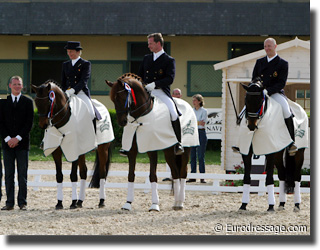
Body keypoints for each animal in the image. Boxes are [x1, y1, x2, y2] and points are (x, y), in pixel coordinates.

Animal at [31, 80, 111, 209]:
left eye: (48, 101)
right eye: (36, 101)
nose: (43, 124)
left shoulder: (74, 149)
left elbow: (73, 175)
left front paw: (72, 202)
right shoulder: (56, 150)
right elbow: (59, 175)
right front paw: (59, 203)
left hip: (102, 148)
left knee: (102, 172)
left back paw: (101, 201)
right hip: (83, 149)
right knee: (83, 172)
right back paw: (80, 201)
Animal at [107, 73, 192, 211]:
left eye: (122, 97)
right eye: (113, 100)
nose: (121, 122)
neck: (140, 116)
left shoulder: (152, 149)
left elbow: (153, 175)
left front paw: (154, 205)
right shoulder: (131, 151)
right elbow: (130, 175)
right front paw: (128, 203)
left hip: (187, 150)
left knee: (183, 172)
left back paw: (180, 203)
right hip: (168, 150)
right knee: (175, 172)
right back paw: (176, 202)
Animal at [239, 80, 306, 211]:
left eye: (260, 101)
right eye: (246, 101)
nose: (251, 126)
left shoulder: (270, 152)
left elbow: (269, 178)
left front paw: (270, 206)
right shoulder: (246, 153)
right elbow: (247, 178)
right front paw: (243, 205)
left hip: (299, 153)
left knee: (297, 176)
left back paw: (296, 205)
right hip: (278, 154)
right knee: (282, 174)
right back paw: (281, 204)